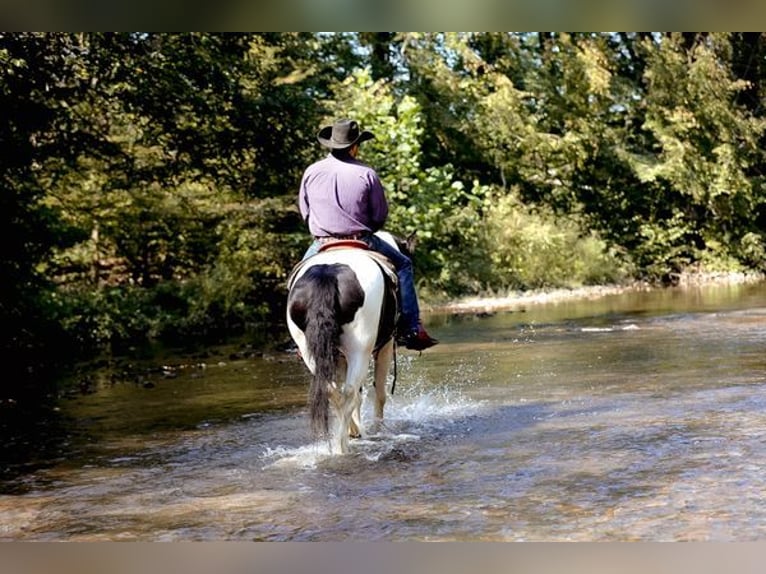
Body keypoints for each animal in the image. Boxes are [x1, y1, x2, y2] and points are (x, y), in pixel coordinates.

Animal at [284, 230, 402, 454]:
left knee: (334, 389)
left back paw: (345, 439)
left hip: (309, 351)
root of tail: (327, 274)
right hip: (360, 350)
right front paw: (378, 429)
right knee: (350, 391)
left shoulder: (339, 357)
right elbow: (379, 393)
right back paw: (344, 445)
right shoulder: (385, 346)